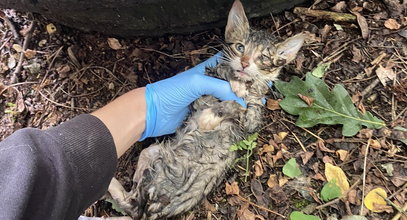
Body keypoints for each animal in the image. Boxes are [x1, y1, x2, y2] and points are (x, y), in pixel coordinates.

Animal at [107, 0, 304, 219]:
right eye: (240, 47)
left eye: (263, 57)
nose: (244, 63)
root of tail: (152, 211)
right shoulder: (201, 95)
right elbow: (222, 91)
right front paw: (233, 87)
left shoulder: (253, 118)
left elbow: (238, 106)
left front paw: (215, 112)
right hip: (153, 161)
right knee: (131, 202)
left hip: (152, 161)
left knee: (132, 203)